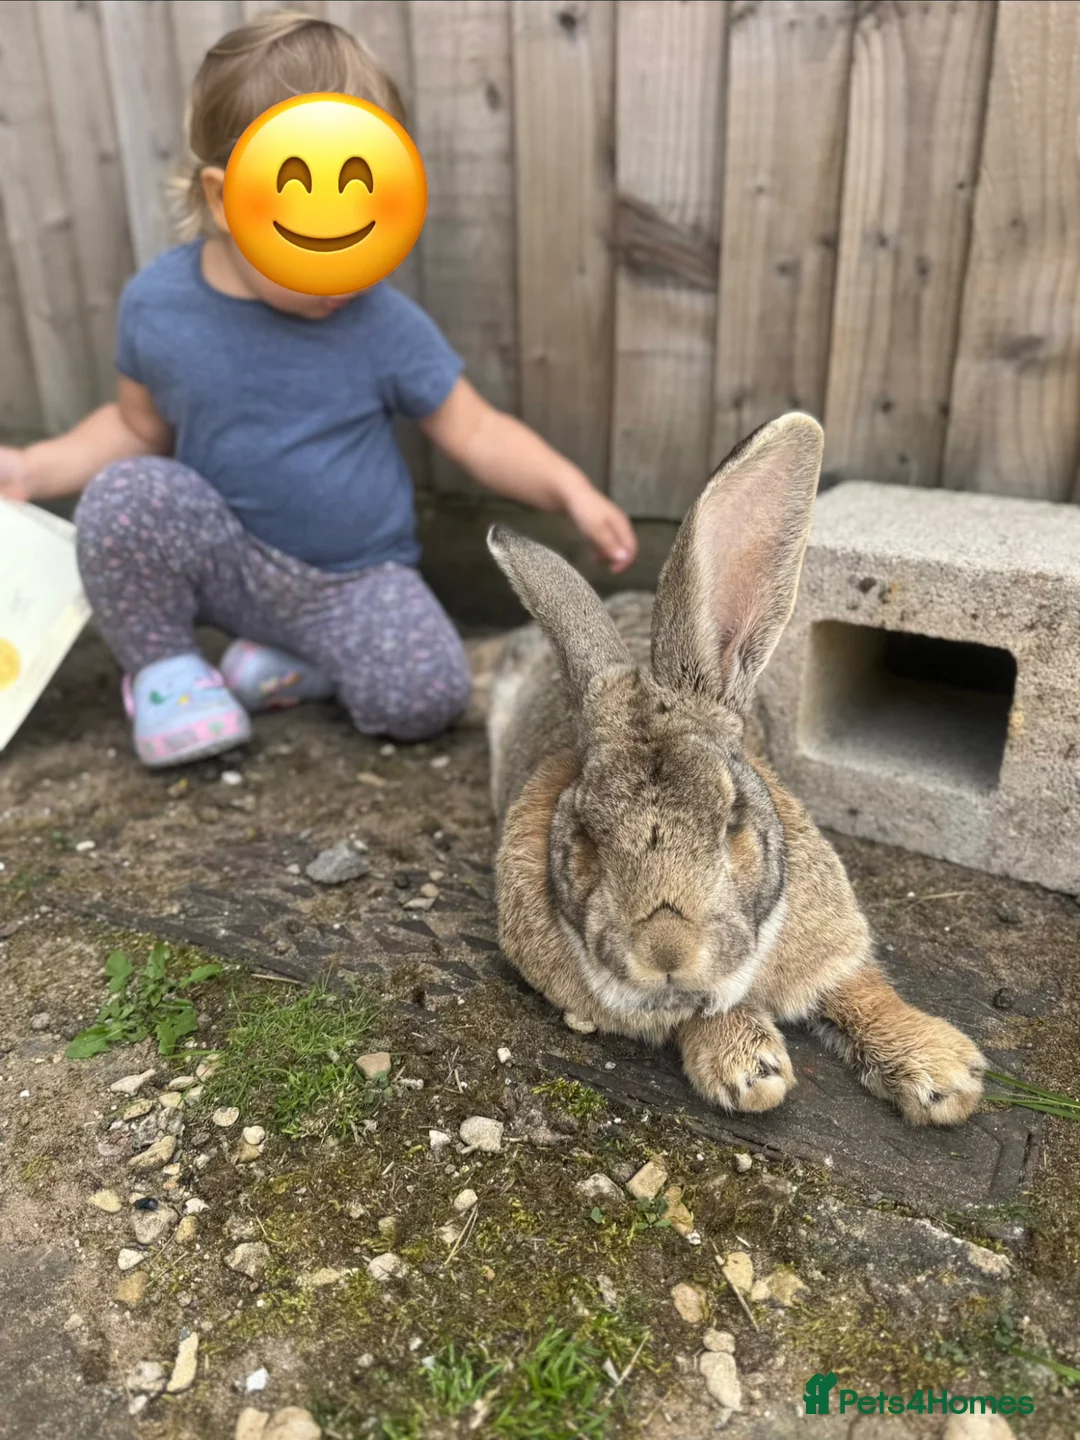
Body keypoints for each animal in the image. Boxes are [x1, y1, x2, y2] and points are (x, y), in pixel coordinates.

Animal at [484, 412, 986, 1127]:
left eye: (732, 821)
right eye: (584, 835)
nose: (666, 952)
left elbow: (858, 986)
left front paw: (945, 1074)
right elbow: (694, 1016)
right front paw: (751, 1069)